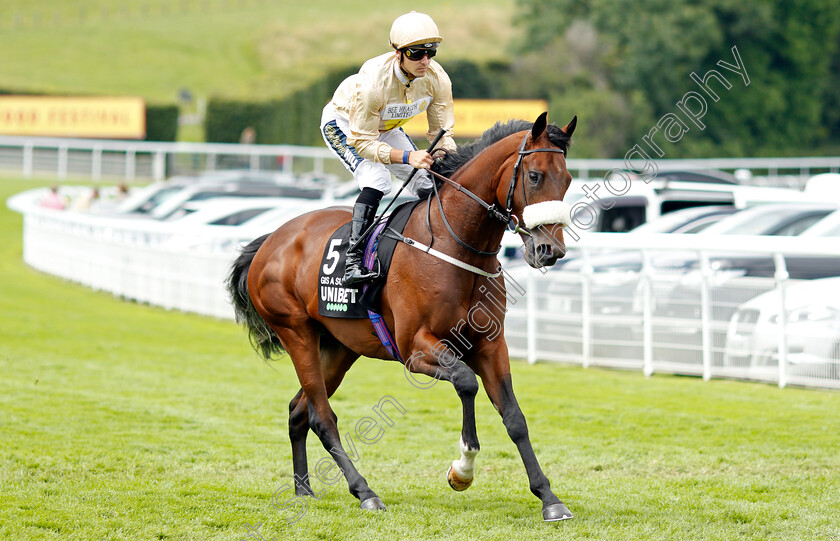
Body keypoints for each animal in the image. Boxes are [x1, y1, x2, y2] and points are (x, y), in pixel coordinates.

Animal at [228, 112, 576, 520]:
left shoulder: (491, 346)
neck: (452, 244)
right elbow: (466, 382)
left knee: (299, 411)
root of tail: (269, 241)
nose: (550, 250)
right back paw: (365, 492)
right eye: (535, 176)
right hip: (296, 332)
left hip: (339, 348)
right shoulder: (415, 349)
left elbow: (515, 418)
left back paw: (303, 490)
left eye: (568, 179)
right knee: (321, 417)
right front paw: (462, 470)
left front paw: (549, 498)